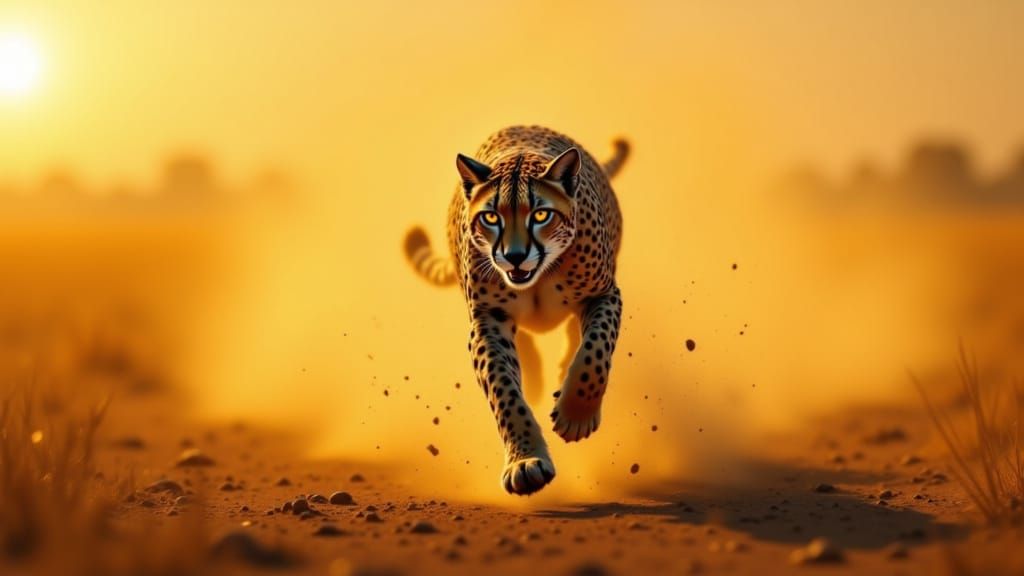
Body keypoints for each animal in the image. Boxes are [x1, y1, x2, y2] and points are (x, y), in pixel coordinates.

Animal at [403, 125, 628, 495]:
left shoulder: (604, 294)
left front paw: (576, 414)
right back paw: (535, 376)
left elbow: (595, 352)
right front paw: (525, 461)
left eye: (540, 215)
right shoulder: (488, 320)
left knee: (574, 335)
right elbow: (504, 391)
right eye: (491, 217)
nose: (515, 256)